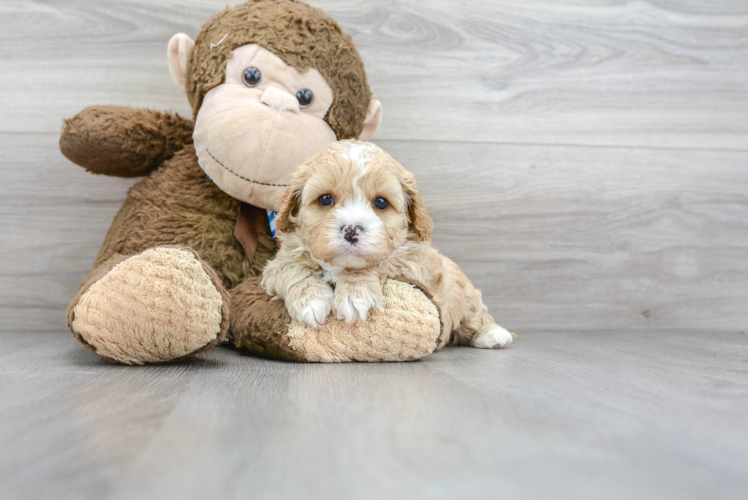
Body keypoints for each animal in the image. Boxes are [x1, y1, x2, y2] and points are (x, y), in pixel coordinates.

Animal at [262, 141, 516, 350]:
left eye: (381, 202)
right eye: (325, 199)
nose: (351, 230)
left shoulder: (412, 264)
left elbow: (378, 263)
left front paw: (355, 295)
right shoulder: (277, 264)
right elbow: (292, 269)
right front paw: (311, 301)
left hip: (463, 294)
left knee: (476, 315)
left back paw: (493, 335)